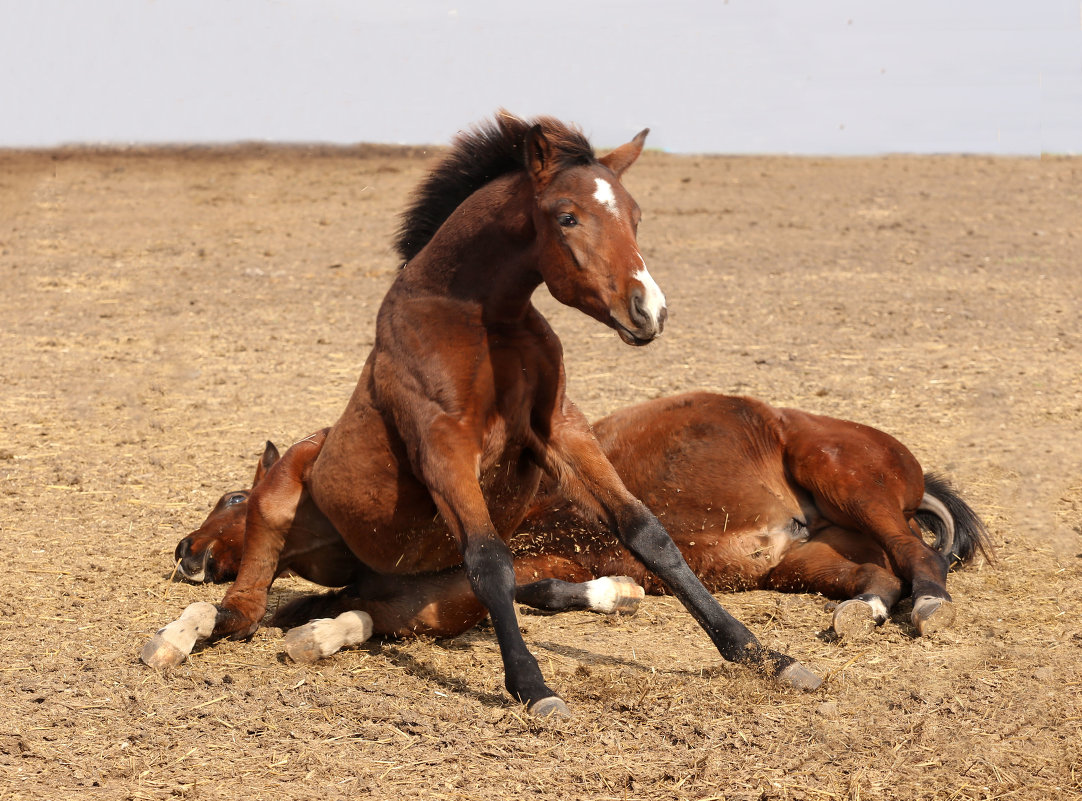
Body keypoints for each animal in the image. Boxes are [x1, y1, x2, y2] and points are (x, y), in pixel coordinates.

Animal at [146, 110, 817, 714]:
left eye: (635, 217)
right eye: (567, 216)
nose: (648, 311)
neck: (481, 320)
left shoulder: (559, 430)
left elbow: (647, 532)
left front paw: (761, 655)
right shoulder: (444, 448)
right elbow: (490, 559)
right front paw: (533, 688)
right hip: (275, 542)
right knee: (235, 614)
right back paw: (172, 639)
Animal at [173, 394, 991, 649]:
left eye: (234, 499)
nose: (184, 550)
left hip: (844, 476)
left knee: (919, 558)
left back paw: (929, 606)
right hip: (804, 557)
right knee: (874, 571)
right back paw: (861, 612)